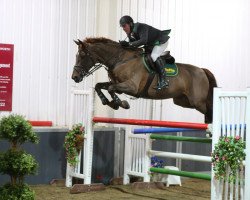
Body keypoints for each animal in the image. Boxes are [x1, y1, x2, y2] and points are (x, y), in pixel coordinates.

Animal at [72, 36, 217, 122]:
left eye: (83, 55)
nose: (74, 77)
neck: (121, 59)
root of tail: (202, 70)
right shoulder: (118, 84)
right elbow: (100, 86)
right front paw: (108, 102)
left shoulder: (132, 87)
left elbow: (111, 88)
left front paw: (120, 103)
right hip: (183, 101)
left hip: (197, 102)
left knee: (210, 111)